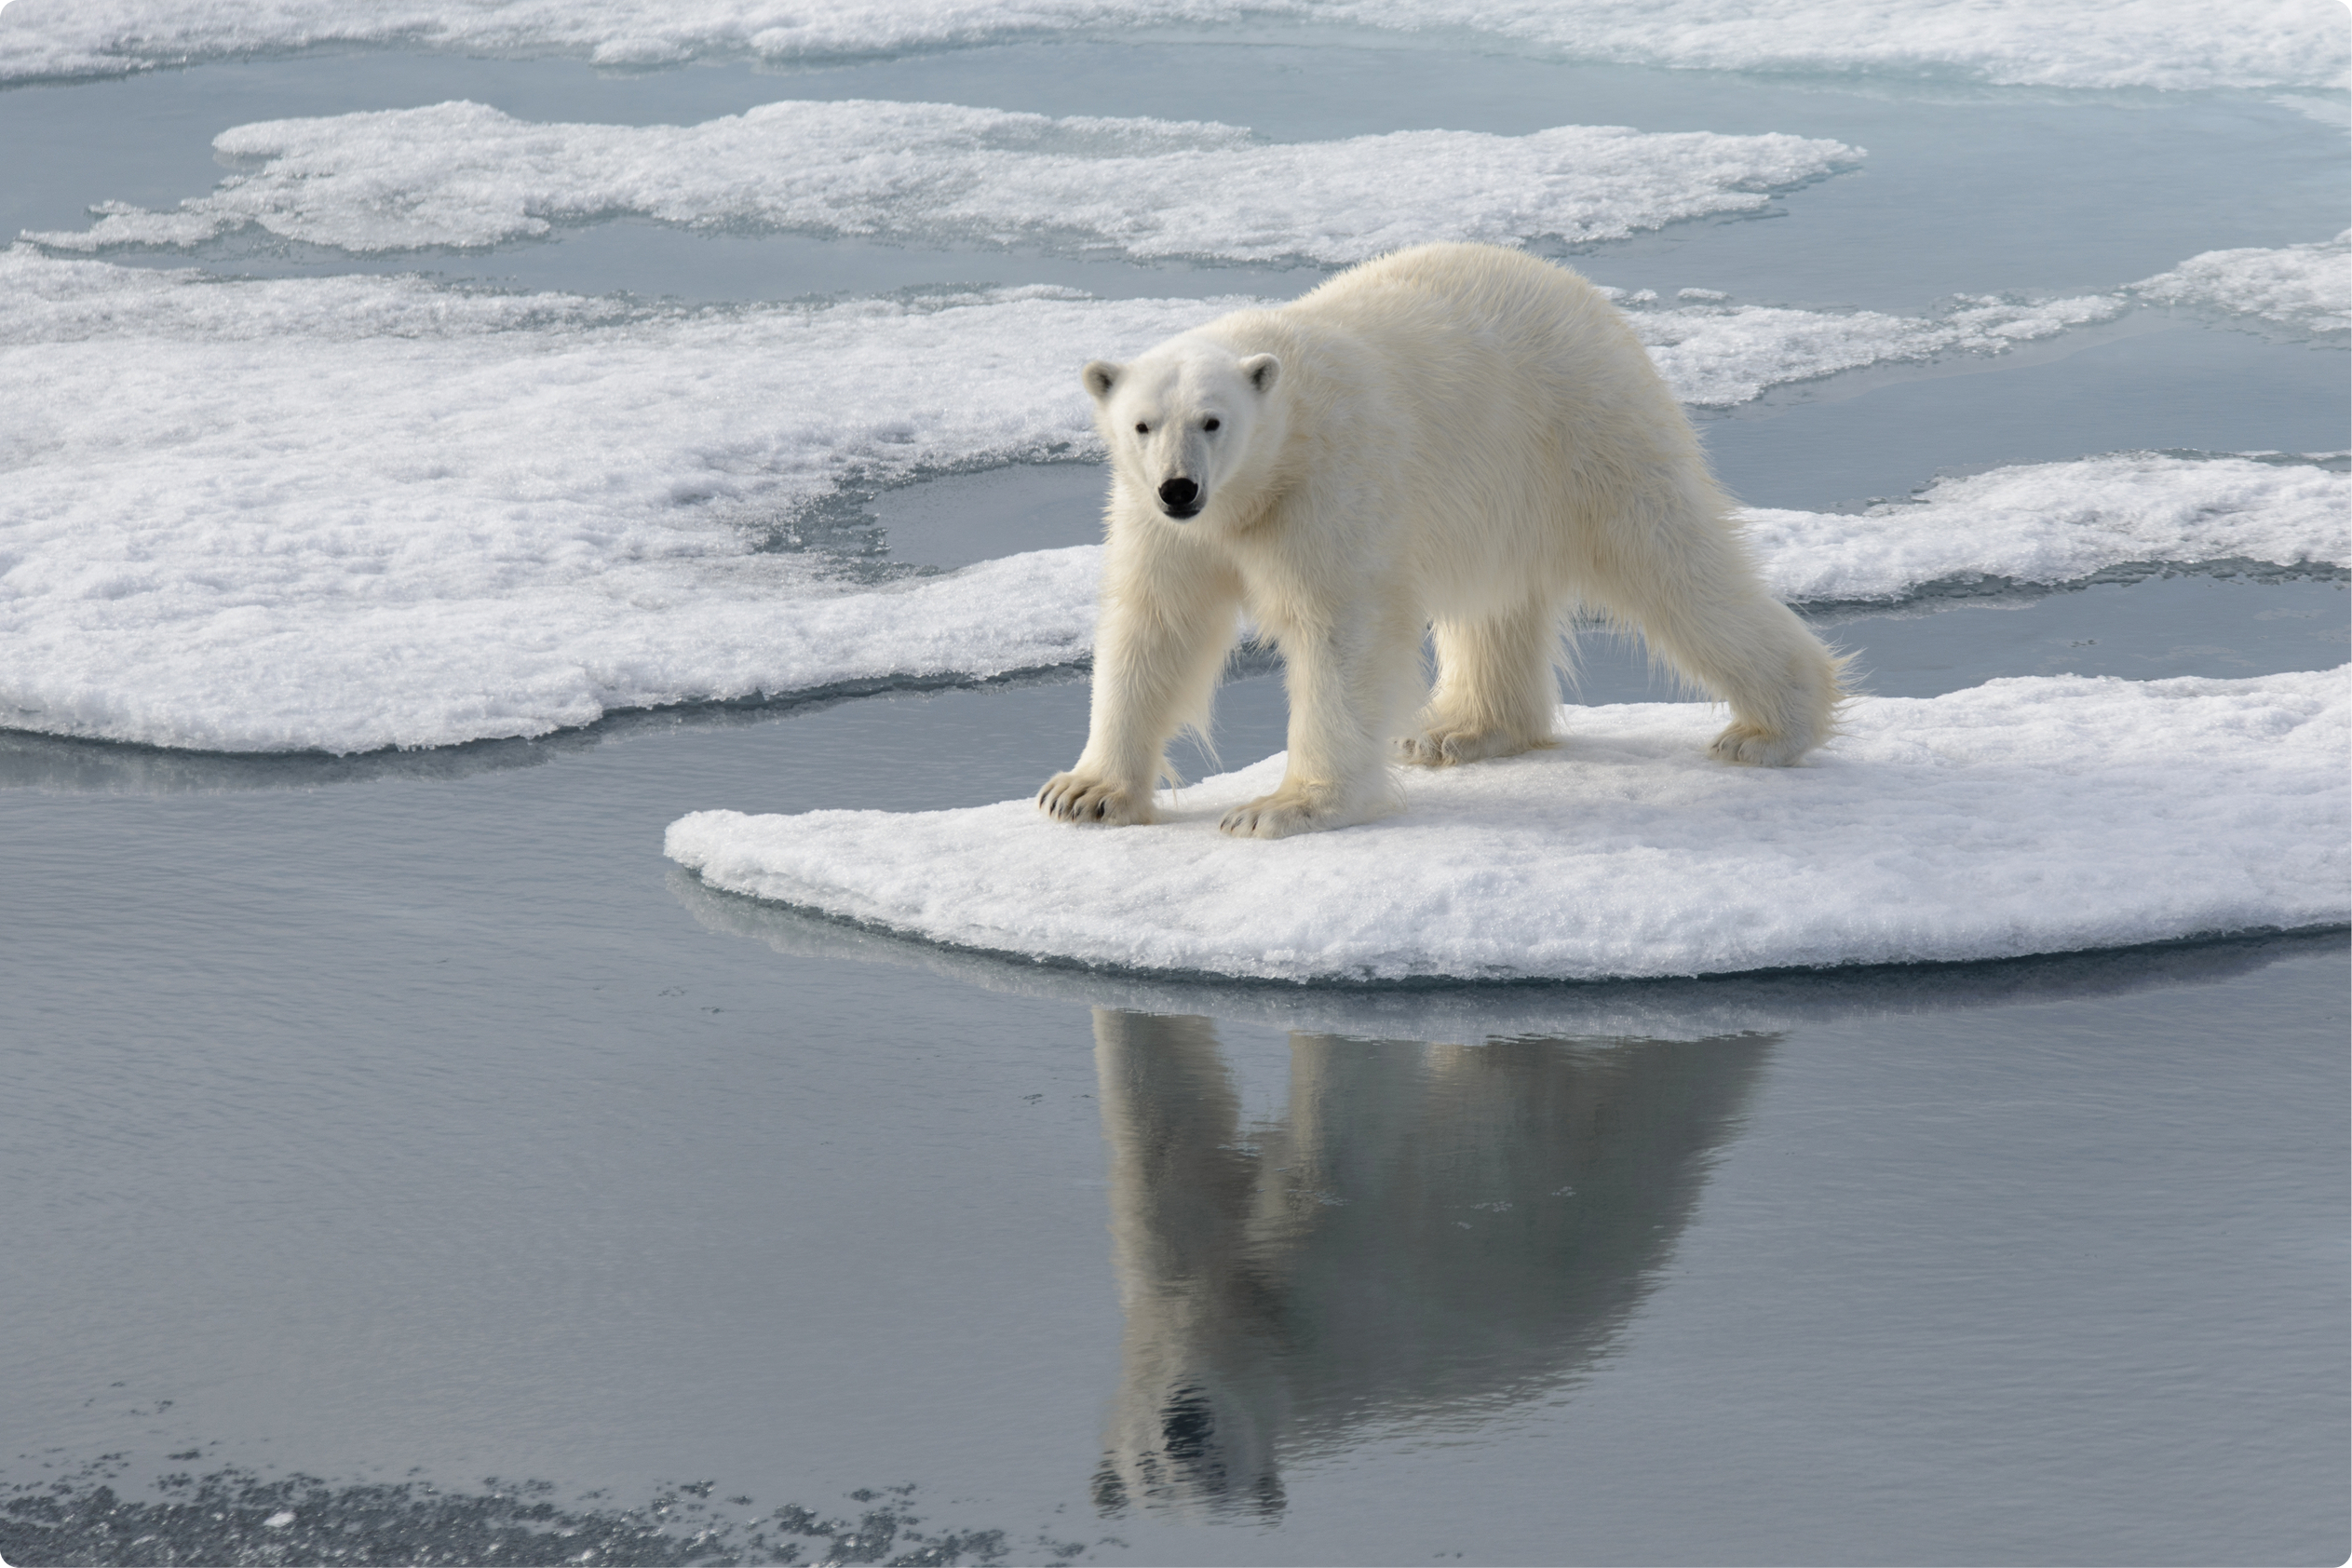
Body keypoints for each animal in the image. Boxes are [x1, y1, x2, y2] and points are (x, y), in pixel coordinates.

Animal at [1036, 241, 1844, 840]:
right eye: (1142, 423)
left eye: (1212, 420)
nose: (1179, 488)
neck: (1261, 479)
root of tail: (1585, 297)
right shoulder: (1157, 526)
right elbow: (1156, 626)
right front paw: (1083, 794)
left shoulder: (1333, 486)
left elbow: (1341, 633)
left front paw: (1283, 807)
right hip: (1502, 492)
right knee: (1497, 605)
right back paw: (1459, 731)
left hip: (1586, 429)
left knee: (1675, 567)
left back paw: (1769, 730)